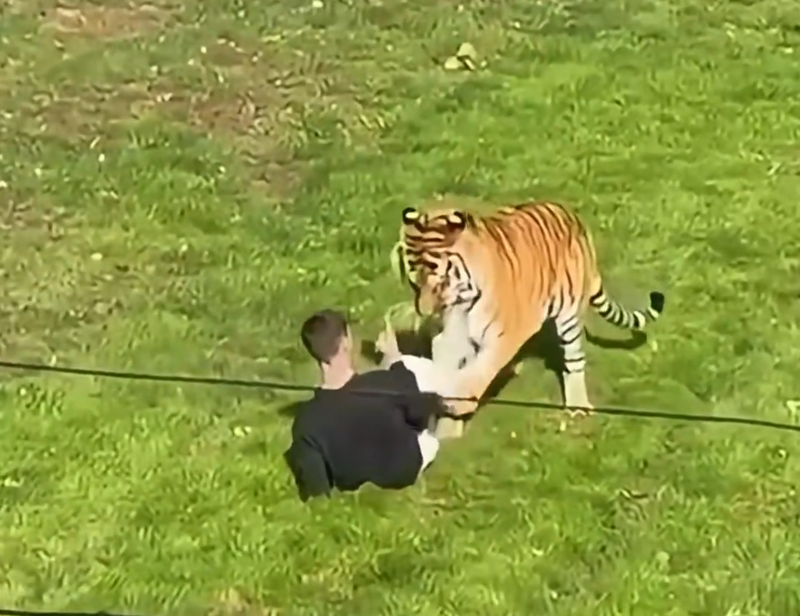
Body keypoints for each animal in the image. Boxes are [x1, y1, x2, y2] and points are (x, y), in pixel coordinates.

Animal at [399, 200, 665, 423]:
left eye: (440, 281)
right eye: (413, 282)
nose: (424, 312)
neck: (463, 300)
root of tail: (573, 218)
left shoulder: (507, 334)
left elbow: (482, 368)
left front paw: (459, 401)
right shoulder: (450, 336)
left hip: (568, 316)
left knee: (574, 360)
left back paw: (577, 406)